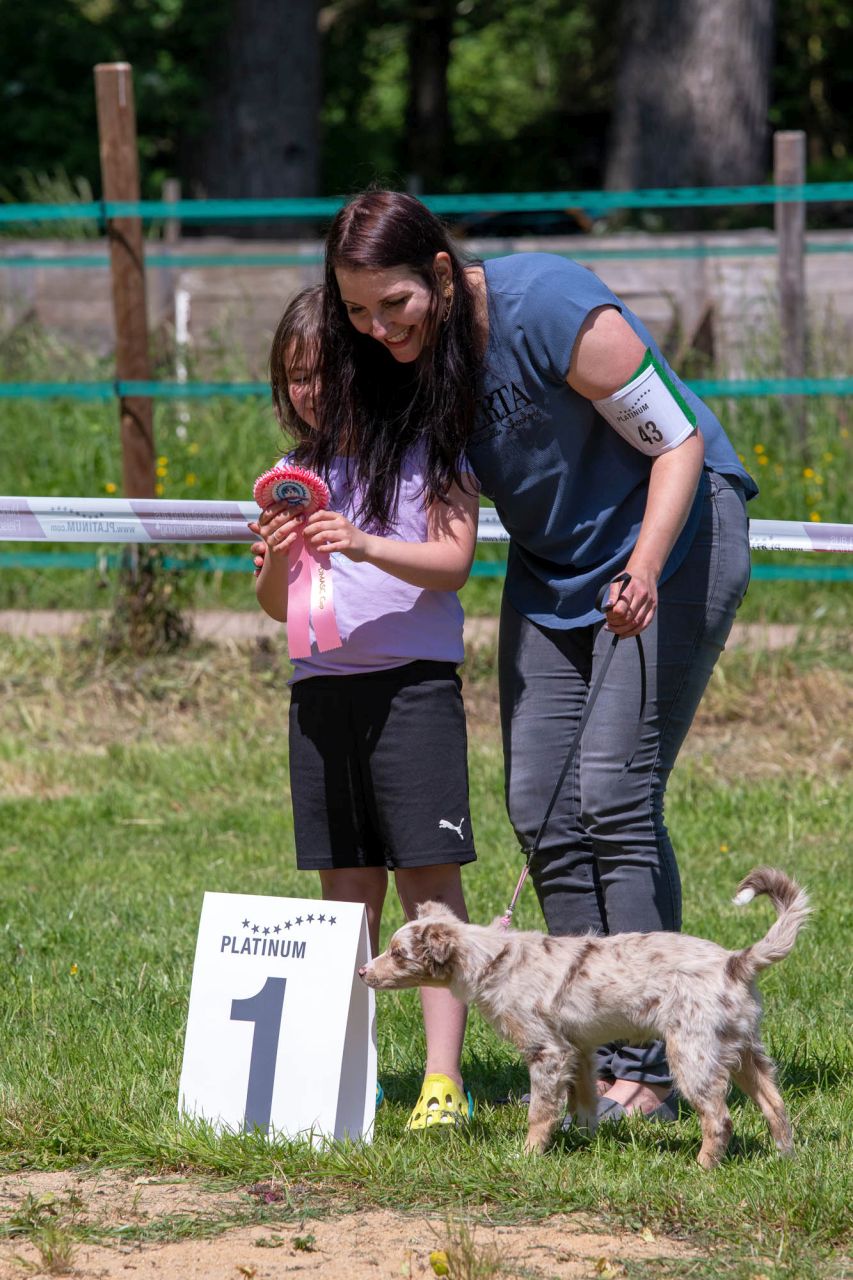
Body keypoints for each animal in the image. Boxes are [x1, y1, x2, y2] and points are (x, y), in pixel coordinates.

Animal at [356, 865, 804, 1167]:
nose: (362, 972)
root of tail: (736, 961)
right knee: (774, 1104)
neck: (493, 959)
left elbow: (540, 1112)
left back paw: (703, 1167)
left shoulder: (547, 1052)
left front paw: (528, 1155)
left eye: (397, 954)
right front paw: (586, 1141)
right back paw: (783, 1157)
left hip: (692, 1055)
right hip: (744, 1051)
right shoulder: (580, 1051)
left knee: (720, 1118)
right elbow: (583, 1102)